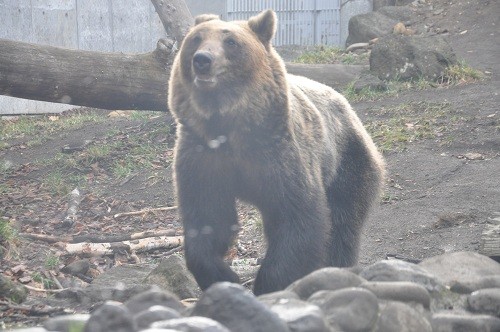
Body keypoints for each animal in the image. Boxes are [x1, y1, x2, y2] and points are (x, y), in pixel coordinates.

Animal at [168, 8, 382, 296]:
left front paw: (269, 285)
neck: (229, 129)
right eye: (196, 39)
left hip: (348, 159)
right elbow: (208, 216)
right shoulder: (203, 155)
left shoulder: (279, 153)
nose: (202, 60)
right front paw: (223, 275)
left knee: (343, 221)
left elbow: (297, 218)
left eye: (231, 41)